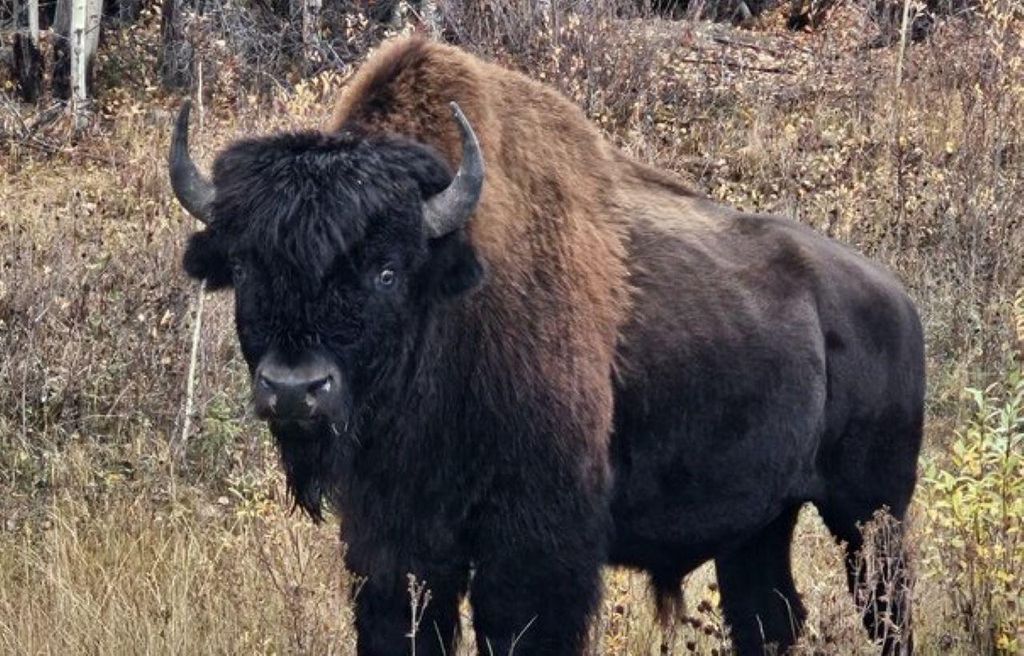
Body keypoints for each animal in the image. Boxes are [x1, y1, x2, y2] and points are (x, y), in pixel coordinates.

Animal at [169, 37, 923, 656]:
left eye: (386, 270)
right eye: (246, 270)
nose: (295, 389)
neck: (448, 299)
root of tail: (895, 299)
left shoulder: (535, 547)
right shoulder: (392, 542)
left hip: (871, 514)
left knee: (887, 611)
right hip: (764, 521)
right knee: (768, 616)